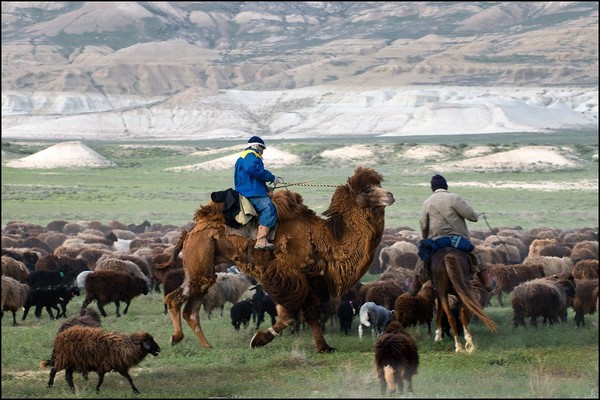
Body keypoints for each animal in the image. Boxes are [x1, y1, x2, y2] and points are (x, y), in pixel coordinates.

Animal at [166, 166, 396, 354]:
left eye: (378, 185)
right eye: (366, 189)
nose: (391, 195)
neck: (325, 238)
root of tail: (190, 232)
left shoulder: (310, 279)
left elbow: (310, 314)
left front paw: (324, 347)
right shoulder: (286, 276)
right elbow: (288, 315)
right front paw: (259, 339)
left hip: (202, 267)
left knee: (191, 309)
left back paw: (206, 345)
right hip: (201, 256)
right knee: (175, 298)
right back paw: (176, 337)